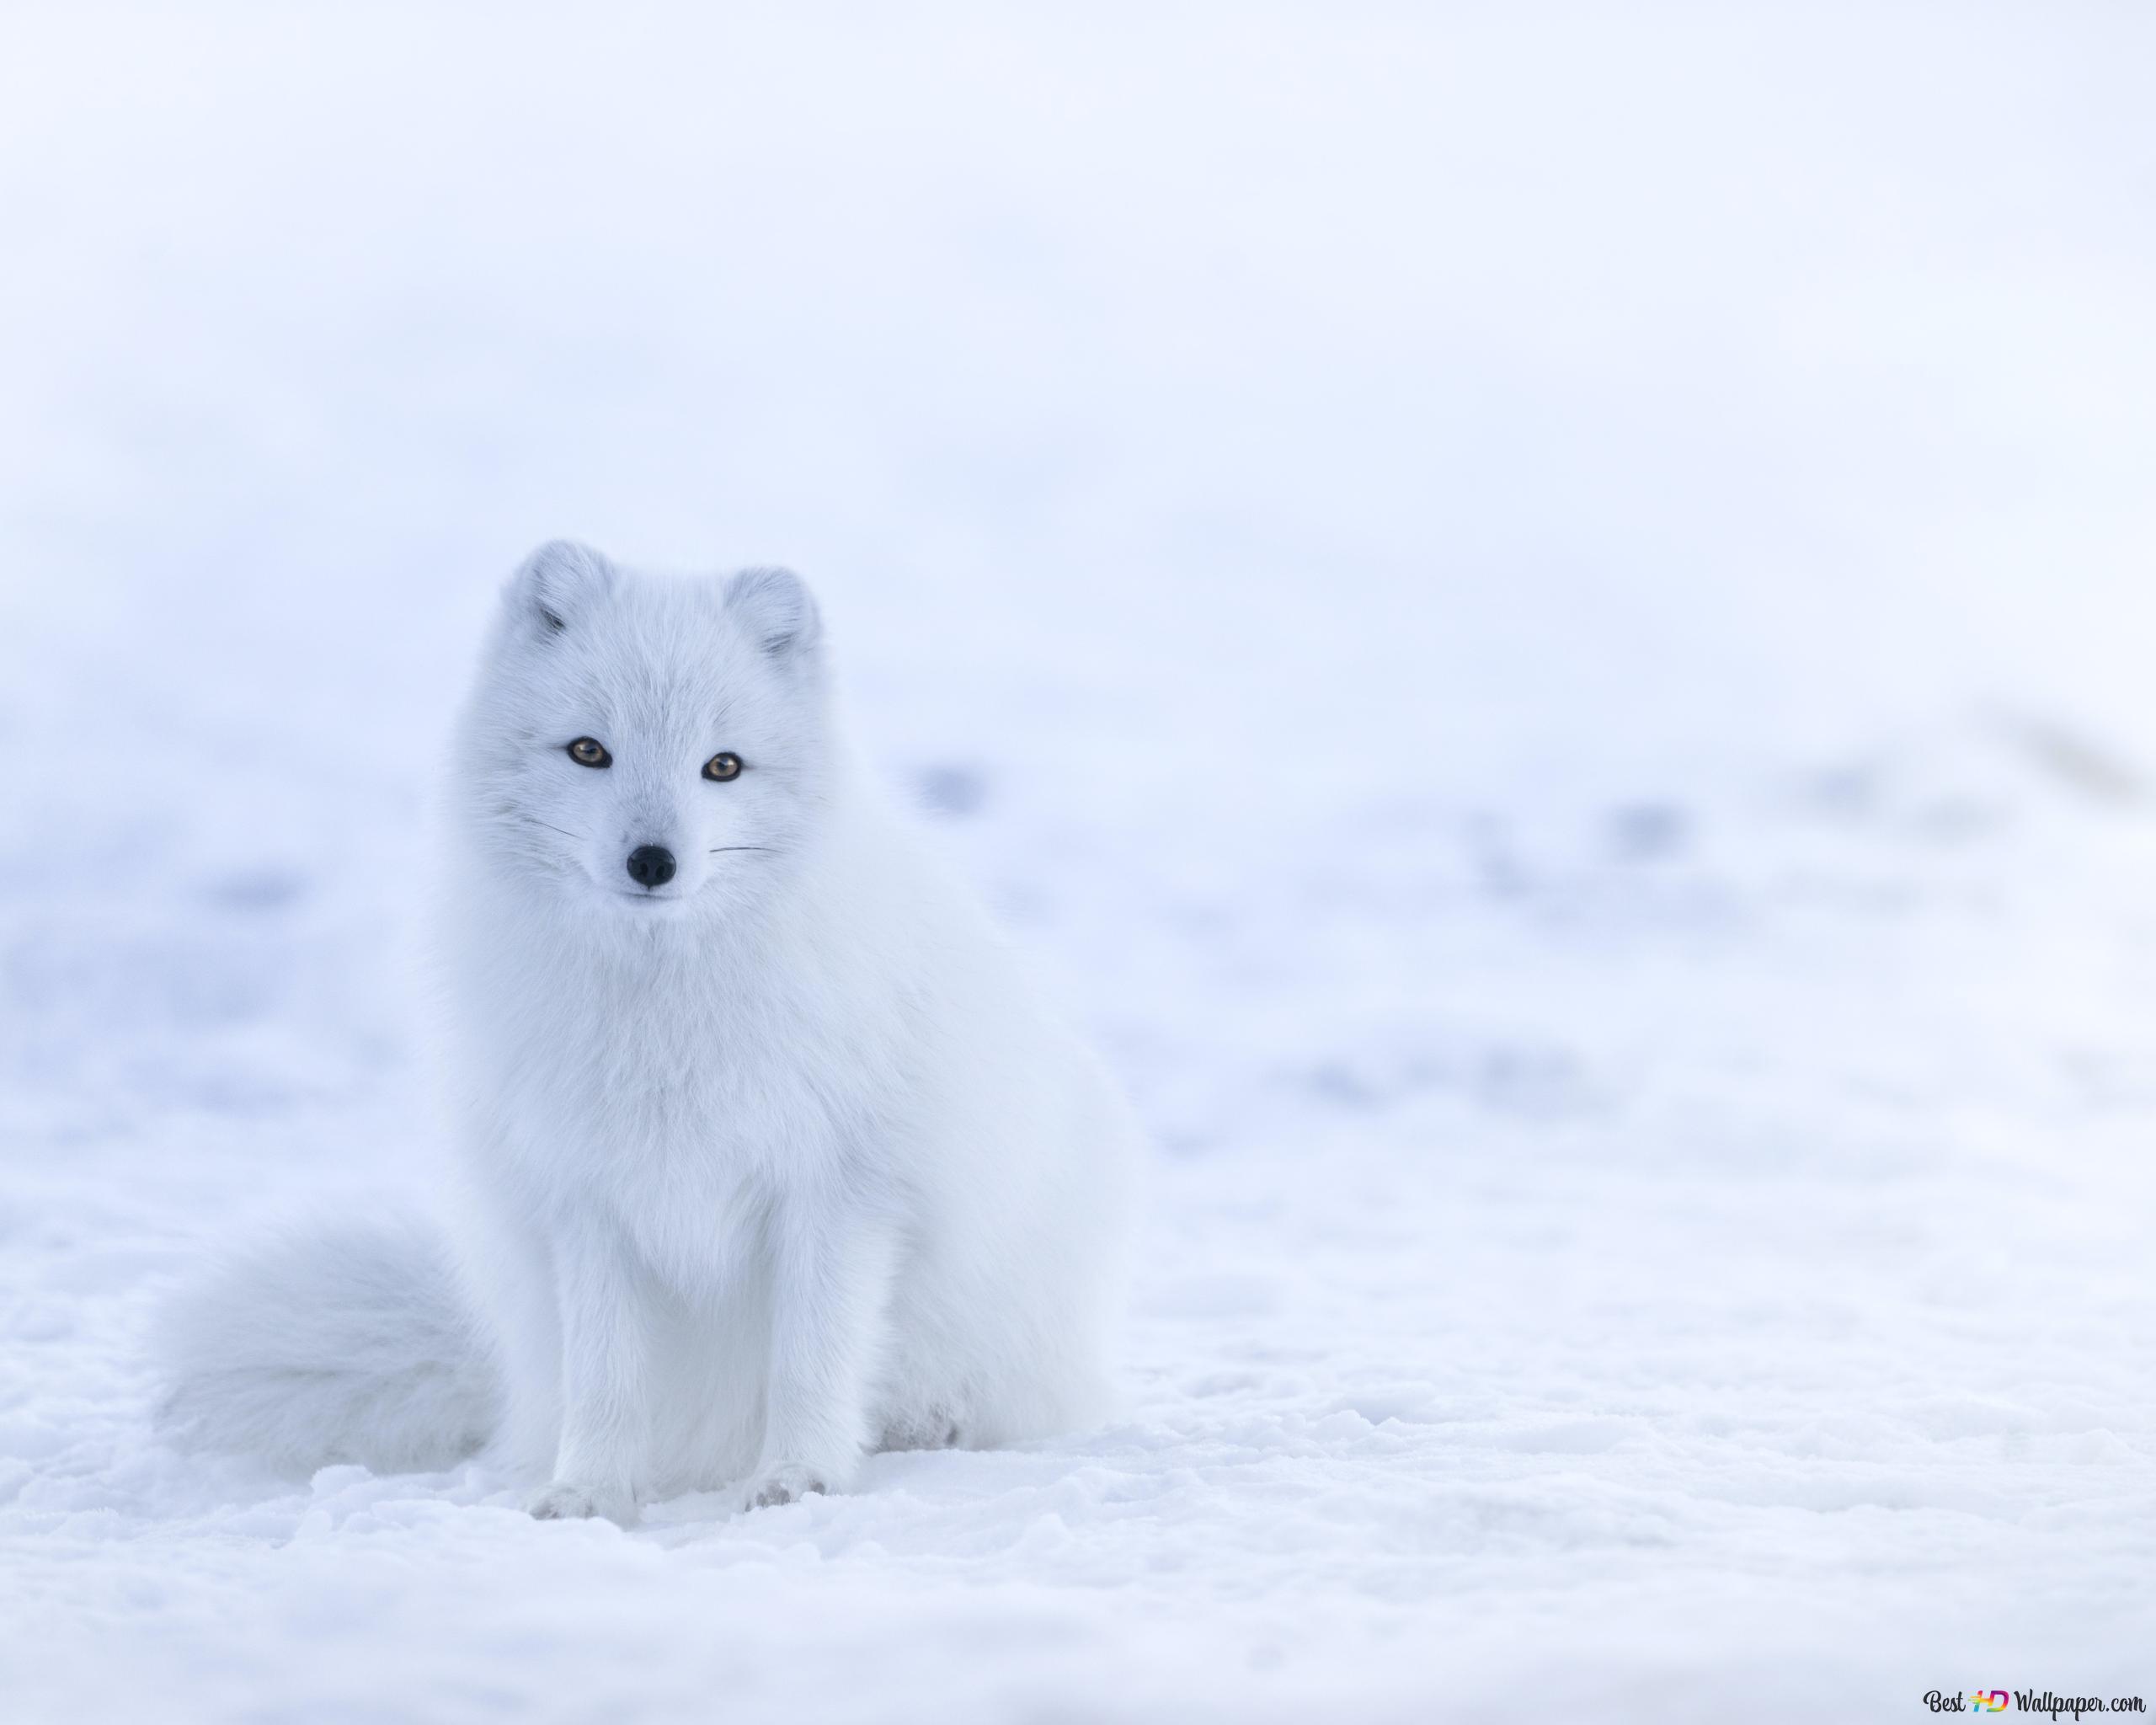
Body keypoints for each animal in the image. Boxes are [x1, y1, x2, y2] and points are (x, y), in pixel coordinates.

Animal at [157, 541, 1139, 1520]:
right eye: (590, 750)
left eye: (723, 766)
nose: (653, 861)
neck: (663, 1012)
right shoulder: (587, 1198)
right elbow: (605, 1377)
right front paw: (588, 1491)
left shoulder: (840, 1189)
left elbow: (812, 1358)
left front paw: (800, 1477)